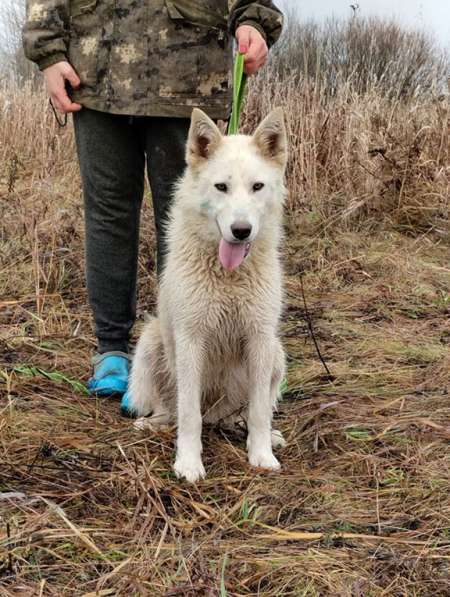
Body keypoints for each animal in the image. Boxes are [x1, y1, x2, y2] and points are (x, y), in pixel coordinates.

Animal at [126, 106, 288, 480]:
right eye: (221, 187)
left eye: (257, 187)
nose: (241, 231)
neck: (228, 276)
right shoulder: (190, 340)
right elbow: (188, 415)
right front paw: (188, 462)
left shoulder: (260, 338)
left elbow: (260, 410)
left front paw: (261, 454)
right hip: (151, 344)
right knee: (173, 410)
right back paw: (153, 424)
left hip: (277, 353)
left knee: (241, 413)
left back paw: (251, 430)